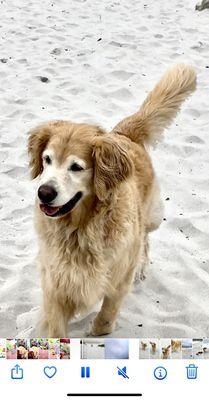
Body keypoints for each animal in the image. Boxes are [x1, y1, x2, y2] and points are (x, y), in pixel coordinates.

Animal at [27, 63, 196, 338]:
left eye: (76, 167)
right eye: (47, 159)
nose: (45, 193)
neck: (80, 228)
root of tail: (122, 134)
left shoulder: (118, 278)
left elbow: (105, 319)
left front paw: (94, 331)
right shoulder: (56, 283)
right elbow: (56, 328)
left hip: (152, 217)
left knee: (145, 238)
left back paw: (141, 266)